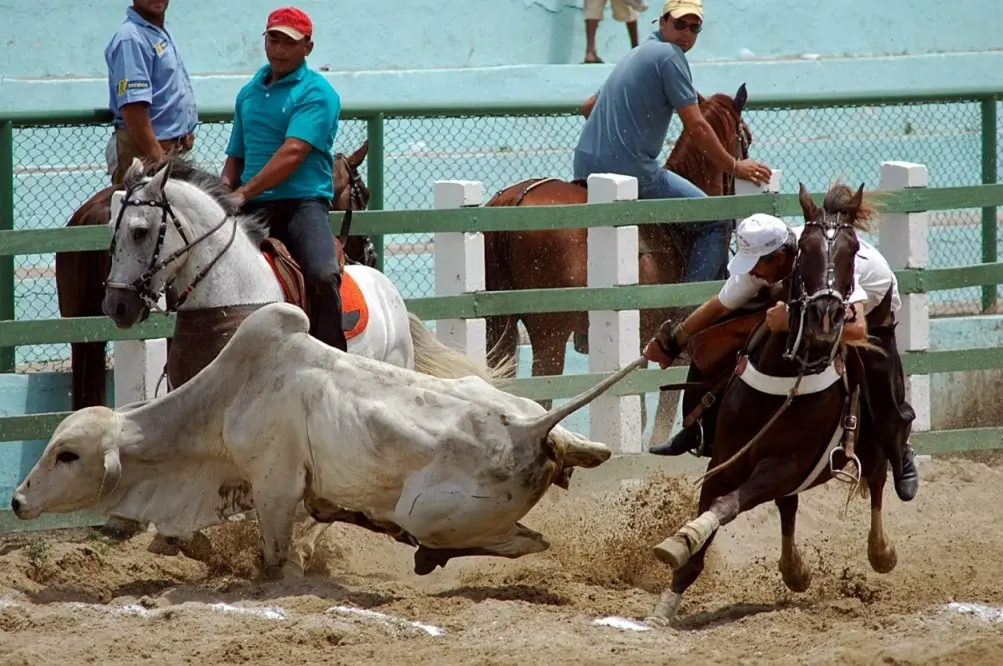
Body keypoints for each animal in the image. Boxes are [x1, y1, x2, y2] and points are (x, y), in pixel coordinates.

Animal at [9, 302, 641, 577]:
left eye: (68, 454)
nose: (16, 500)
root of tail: (533, 430)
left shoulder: (274, 488)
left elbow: (274, 557)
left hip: (426, 511)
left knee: (519, 542)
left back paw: (426, 553)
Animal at [645, 183, 898, 629]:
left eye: (852, 250)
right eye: (806, 251)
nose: (826, 316)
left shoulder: (785, 465)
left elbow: (726, 505)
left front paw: (683, 537)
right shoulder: (726, 459)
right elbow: (711, 515)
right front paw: (665, 604)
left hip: (868, 439)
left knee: (879, 478)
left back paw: (880, 551)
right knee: (789, 505)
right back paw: (794, 570)